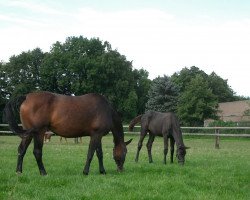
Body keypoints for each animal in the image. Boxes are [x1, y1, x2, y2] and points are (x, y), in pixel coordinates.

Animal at [3, 91, 133, 176]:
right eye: (125, 152)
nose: (121, 169)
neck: (106, 110)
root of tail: (26, 97)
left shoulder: (97, 135)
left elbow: (99, 154)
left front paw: (102, 171)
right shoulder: (96, 135)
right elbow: (91, 153)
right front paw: (86, 172)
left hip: (28, 133)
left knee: (21, 150)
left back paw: (19, 172)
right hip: (39, 132)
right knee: (37, 152)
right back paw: (43, 172)